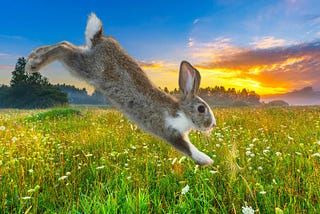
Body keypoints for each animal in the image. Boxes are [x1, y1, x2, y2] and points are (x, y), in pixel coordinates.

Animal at [25, 13, 216, 166]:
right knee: (63, 48)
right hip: (86, 67)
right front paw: (207, 160)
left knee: (65, 43)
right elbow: (188, 148)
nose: (213, 124)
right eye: (201, 109)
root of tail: (100, 38)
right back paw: (33, 64)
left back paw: (33, 56)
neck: (181, 112)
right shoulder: (169, 132)